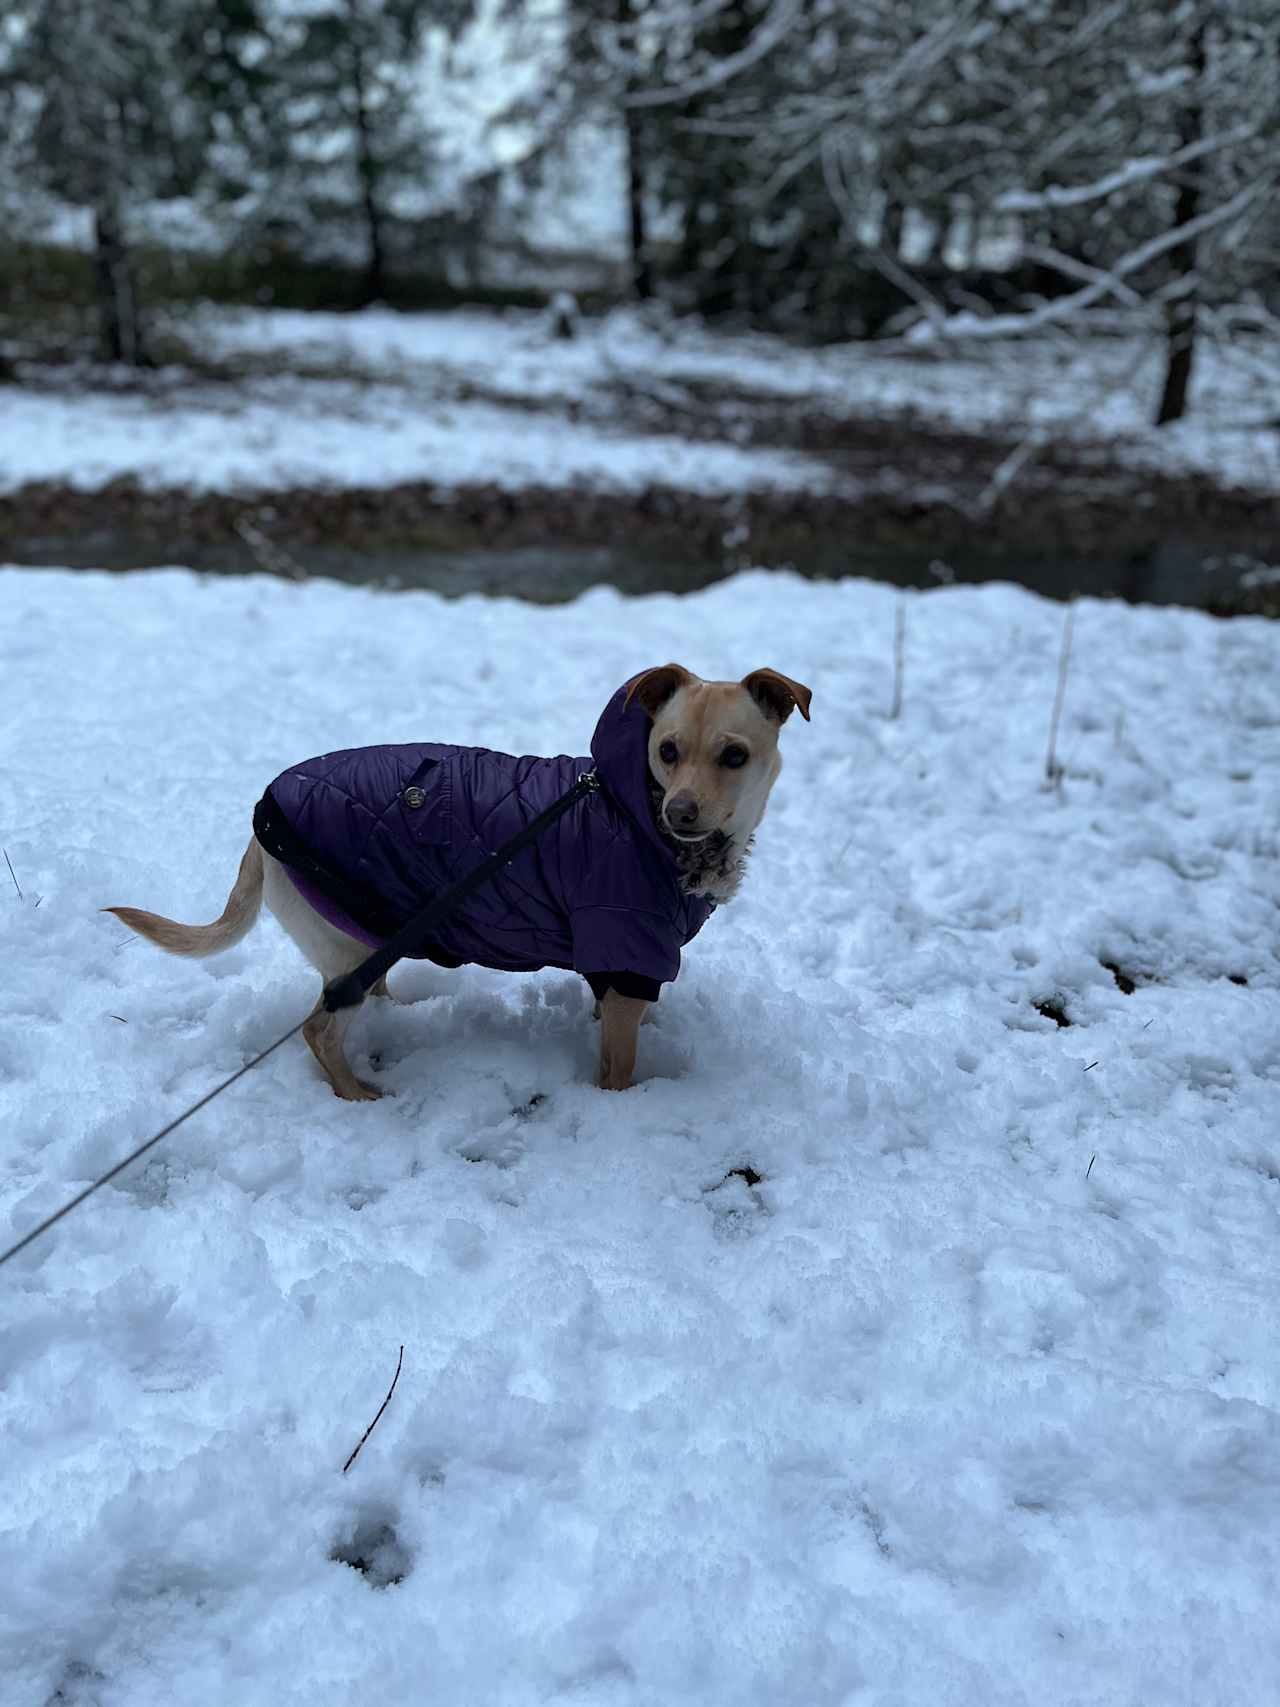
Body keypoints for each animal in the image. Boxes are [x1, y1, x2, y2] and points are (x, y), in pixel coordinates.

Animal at [110, 665, 812, 1092]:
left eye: (734, 756)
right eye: (666, 751)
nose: (681, 812)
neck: (631, 807)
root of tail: (260, 831)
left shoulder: (614, 963)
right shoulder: (624, 949)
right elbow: (618, 1065)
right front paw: (621, 1108)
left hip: (375, 927)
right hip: (350, 944)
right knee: (318, 1029)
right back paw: (357, 1095)